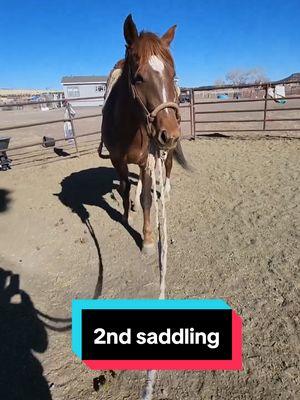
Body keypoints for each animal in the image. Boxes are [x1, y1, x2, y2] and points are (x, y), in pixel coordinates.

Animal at [101, 15, 188, 255]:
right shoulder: (117, 160)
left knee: (168, 166)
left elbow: (148, 198)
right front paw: (125, 215)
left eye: (173, 76)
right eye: (138, 78)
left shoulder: (147, 159)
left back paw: (165, 191)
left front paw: (148, 239)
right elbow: (124, 188)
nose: (170, 134)